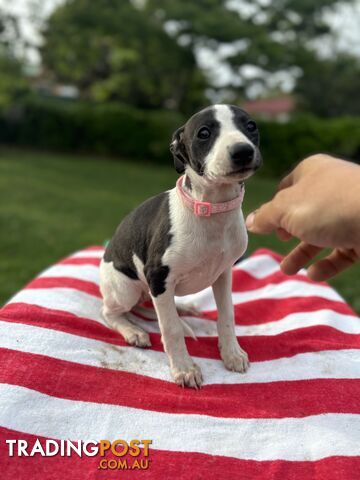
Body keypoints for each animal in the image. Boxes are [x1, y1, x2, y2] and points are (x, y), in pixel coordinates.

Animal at [99, 104, 262, 386]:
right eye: (204, 133)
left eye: (250, 126)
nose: (243, 151)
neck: (212, 210)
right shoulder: (158, 276)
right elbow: (171, 328)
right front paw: (184, 368)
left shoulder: (223, 274)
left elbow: (227, 314)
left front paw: (231, 353)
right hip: (126, 288)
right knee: (110, 312)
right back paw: (133, 331)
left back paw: (183, 308)